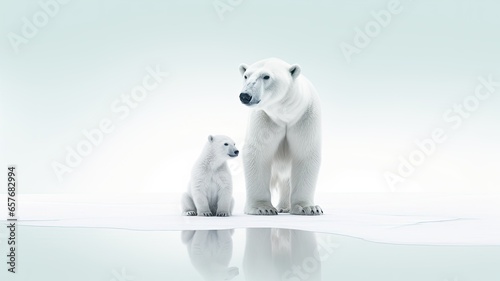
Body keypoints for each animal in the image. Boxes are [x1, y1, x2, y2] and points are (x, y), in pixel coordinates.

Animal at [239, 57, 324, 214]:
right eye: (246, 76)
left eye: (266, 76)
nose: (245, 95)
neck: (285, 114)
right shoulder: (265, 119)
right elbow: (258, 153)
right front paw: (262, 208)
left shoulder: (305, 117)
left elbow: (305, 153)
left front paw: (308, 207)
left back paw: (284, 206)